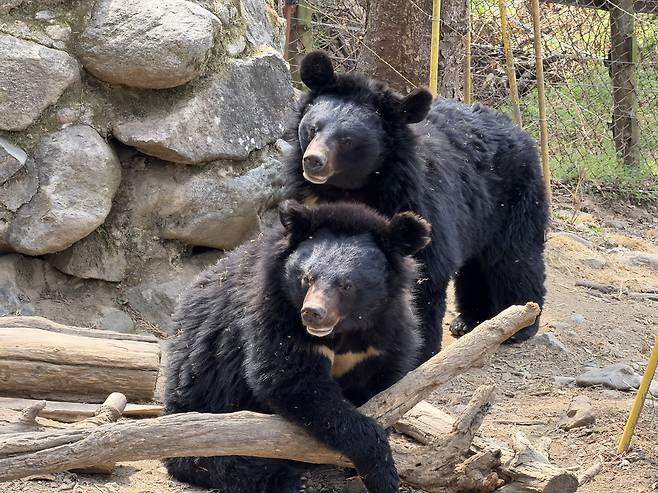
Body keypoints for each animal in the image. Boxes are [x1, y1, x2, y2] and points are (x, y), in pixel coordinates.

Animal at [163, 200, 432, 493]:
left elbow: (384, 386)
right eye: (307, 278)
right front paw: (382, 472)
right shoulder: (275, 313)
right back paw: (283, 478)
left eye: (346, 285)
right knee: (214, 454)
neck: (341, 333)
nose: (312, 313)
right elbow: (293, 382)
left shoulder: (384, 332)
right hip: (204, 397)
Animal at [283, 50, 550, 363]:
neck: (355, 188)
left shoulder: (418, 203)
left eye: (347, 140)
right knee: (477, 265)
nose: (313, 161)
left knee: (514, 257)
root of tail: (518, 130)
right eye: (313, 128)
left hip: (513, 200)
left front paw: (417, 354)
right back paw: (468, 321)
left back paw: (520, 323)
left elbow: (425, 274)